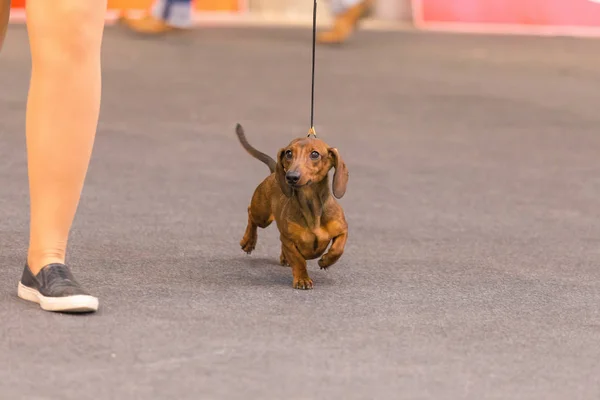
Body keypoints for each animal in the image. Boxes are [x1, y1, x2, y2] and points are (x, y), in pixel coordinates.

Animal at [234, 123, 346, 290]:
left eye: (315, 154)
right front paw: (302, 279)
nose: (291, 177)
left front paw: (326, 261)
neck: (311, 206)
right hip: (262, 216)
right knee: (251, 214)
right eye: (288, 153)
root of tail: (273, 173)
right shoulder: (288, 239)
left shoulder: (343, 230)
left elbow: (338, 249)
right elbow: (299, 261)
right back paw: (248, 241)